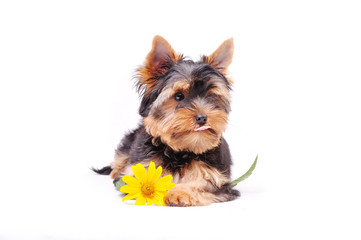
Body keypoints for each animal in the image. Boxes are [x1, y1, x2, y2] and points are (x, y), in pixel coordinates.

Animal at [93, 35, 239, 206]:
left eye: (211, 96)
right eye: (178, 96)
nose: (202, 118)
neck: (182, 150)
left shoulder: (218, 179)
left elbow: (204, 184)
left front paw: (181, 193)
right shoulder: (140, 168)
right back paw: (116, 170)